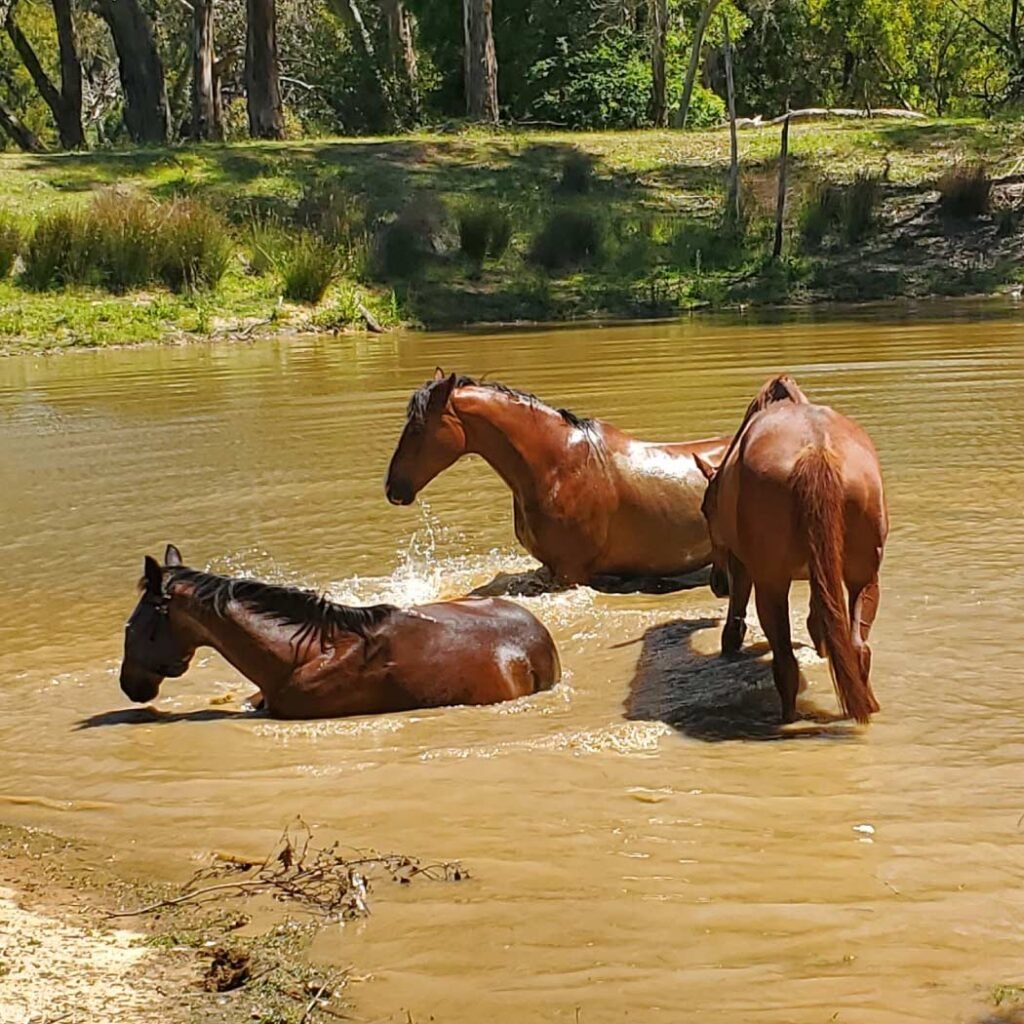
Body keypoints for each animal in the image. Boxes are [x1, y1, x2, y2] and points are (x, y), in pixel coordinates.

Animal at [693, 375, 887, 725]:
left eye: (705, 509)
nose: (717, 584)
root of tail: (817, 451)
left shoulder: (741, 564)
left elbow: (737, 613)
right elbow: (819, 621)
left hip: (771, 584)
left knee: (784, 661)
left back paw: (786, 717)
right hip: (863, 577)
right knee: (857, 647)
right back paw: (867, 705)